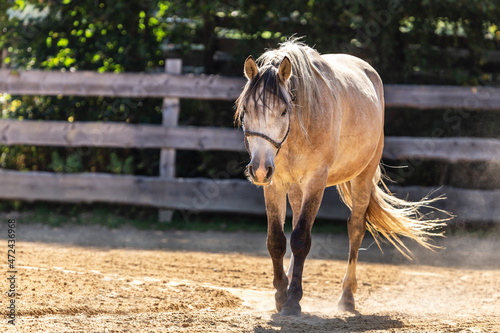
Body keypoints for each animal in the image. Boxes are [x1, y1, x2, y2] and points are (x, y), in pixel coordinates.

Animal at [234, 37, 446, 316]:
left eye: (283, 111)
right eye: (246, 110)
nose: (259, 168)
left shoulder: (315, 182)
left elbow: (301, 239)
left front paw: (293, 300)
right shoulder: (275, 183)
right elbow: (277, 240)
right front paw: (281, 294)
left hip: (363, 177)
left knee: (355, 228)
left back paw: (347, 298)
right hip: (295, 187)